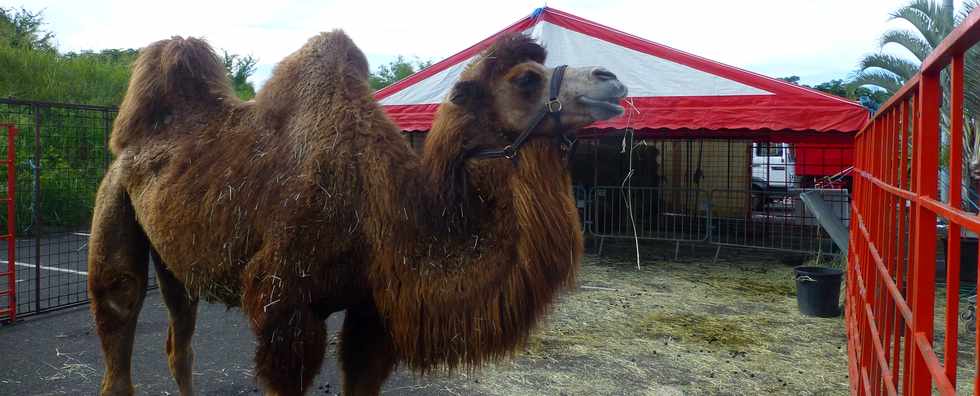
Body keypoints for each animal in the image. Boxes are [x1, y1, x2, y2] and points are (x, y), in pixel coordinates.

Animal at [90, 31, 628, 396]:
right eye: (525, 80)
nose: (613, 80)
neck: (388, 206)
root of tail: (129, 142)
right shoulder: (283, 304)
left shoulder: (372, 309)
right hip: (114, 200)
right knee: (119, 308)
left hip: (174, 258)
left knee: (179, 341)